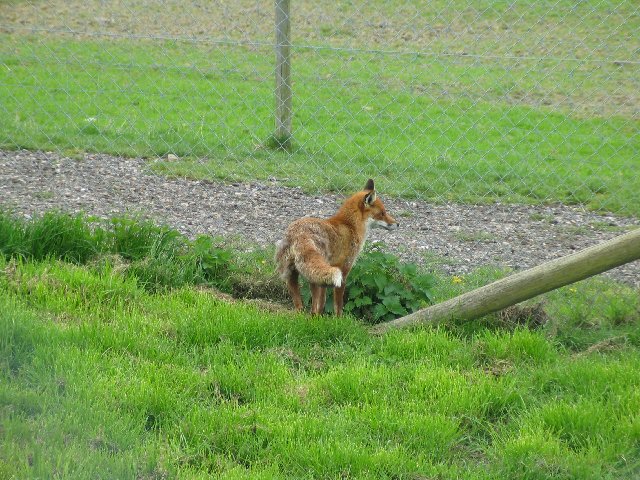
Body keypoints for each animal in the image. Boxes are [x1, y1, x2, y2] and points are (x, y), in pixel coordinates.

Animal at [276, 179, 398, 316]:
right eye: (382, 213)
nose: (398, 224)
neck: (350, 226)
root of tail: (299, 233)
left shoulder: (326, 277)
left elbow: (322, 303)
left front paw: (321, 318)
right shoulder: (343, 270)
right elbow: (338, 304)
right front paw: (338, 319)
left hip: (293, 274)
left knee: (301, 306)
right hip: (314, 275)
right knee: (312, 308)